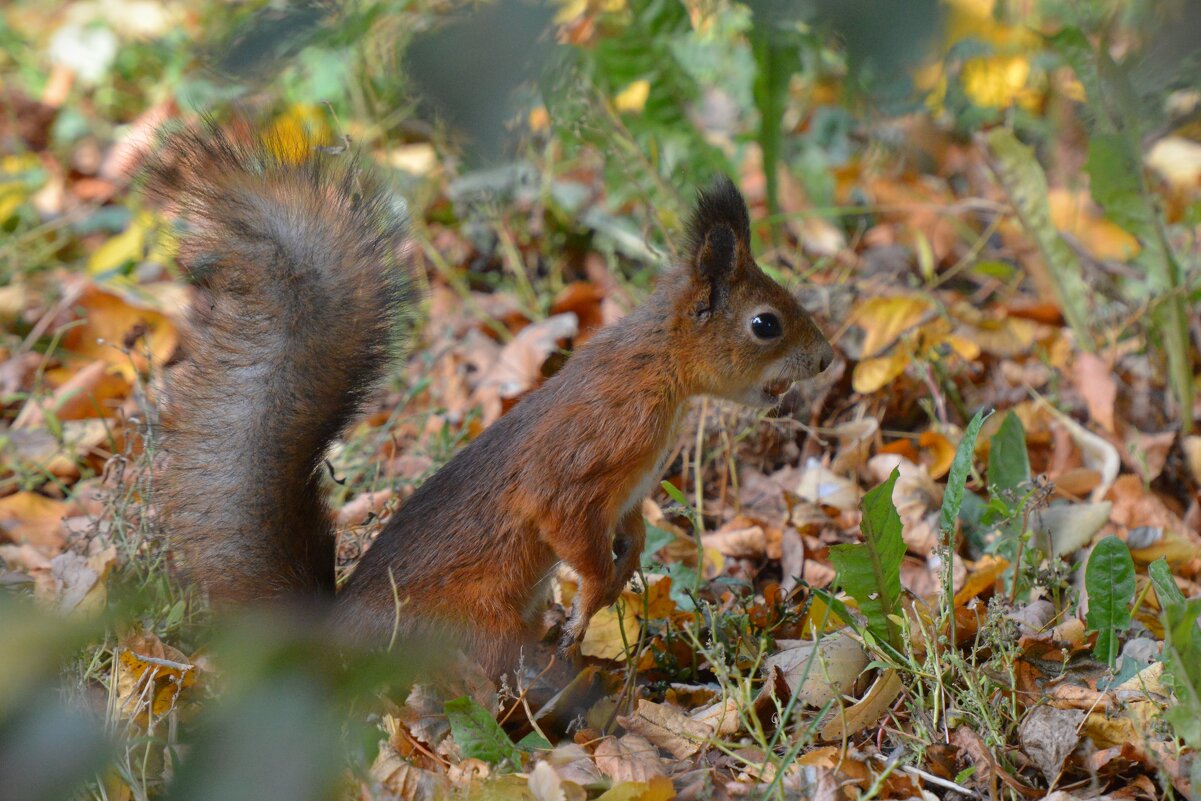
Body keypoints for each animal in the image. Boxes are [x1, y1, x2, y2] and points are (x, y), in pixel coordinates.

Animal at [147, 122, 835, 677]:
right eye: (766, 324)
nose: (827, 360)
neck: (659, 370)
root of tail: (339, 643)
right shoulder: (587, 454)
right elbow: (568, 527)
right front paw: (593, 598)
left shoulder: (628, 496)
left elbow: (631, 533)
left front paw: (618, 578)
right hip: (480, 628)